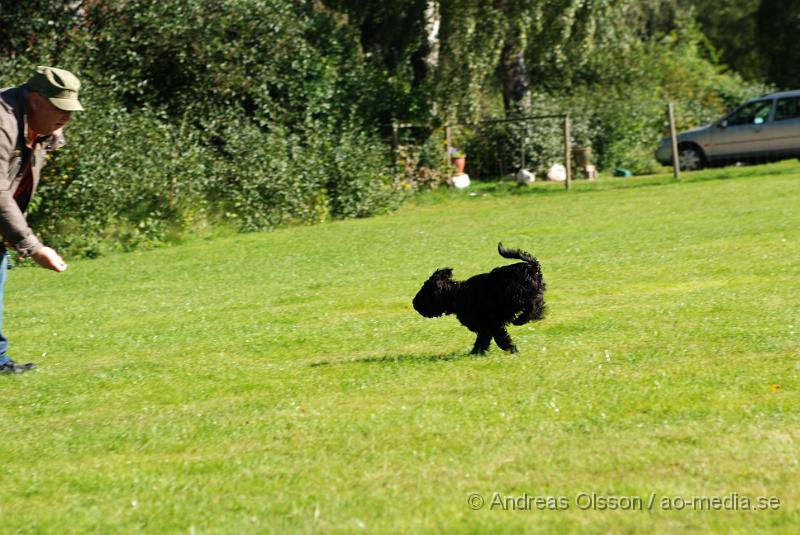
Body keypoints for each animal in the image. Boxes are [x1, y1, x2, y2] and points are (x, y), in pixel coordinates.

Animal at [412, 244, 544, 356]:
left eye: (425, 293)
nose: (414, 303)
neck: (457, 295)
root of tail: (533, 267)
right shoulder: (485, 327)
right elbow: (482, 340)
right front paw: (476, 354)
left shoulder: (493, 323)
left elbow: (501, 339)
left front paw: (512, 350)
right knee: (539, 305)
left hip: (519, 297)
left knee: (533, 305)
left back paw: (520, 320)